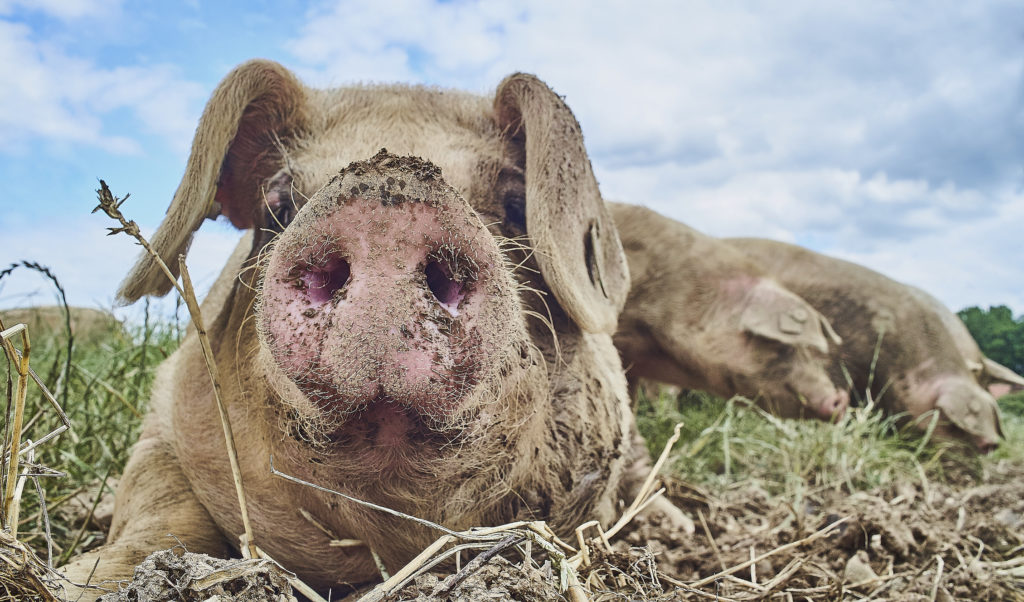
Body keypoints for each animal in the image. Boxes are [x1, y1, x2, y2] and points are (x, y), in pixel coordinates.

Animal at [61, 60, 687, 598]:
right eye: (277, 204)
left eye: (514, 203)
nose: (386, 206)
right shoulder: (162, 415)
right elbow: (156, 504)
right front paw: (78, 583)